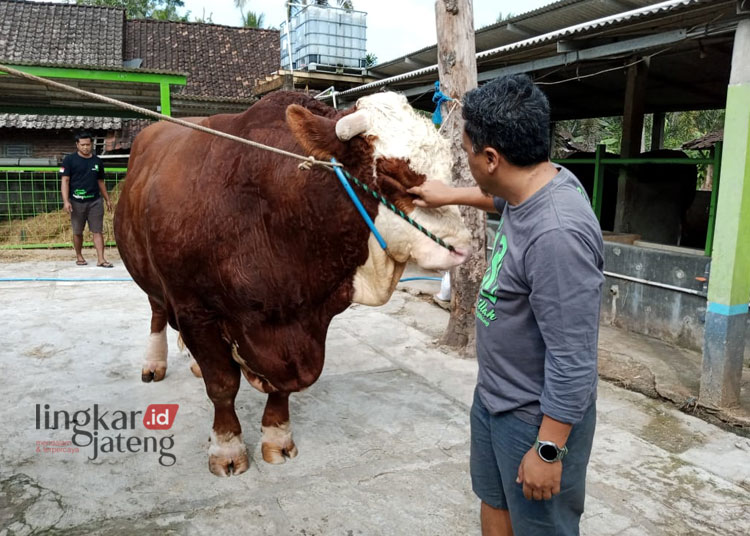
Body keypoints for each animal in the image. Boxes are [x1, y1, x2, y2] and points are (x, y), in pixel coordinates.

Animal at [113, 90, 470, 476]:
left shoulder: (305, 318)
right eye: (390, 172)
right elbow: (222, 384)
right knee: (157, 311)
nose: (462, 245)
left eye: (449, 167)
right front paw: (227, 447)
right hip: (149, 277)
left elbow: (285, 386)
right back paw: (154, 362)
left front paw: (277, 436)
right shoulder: (196, 310)